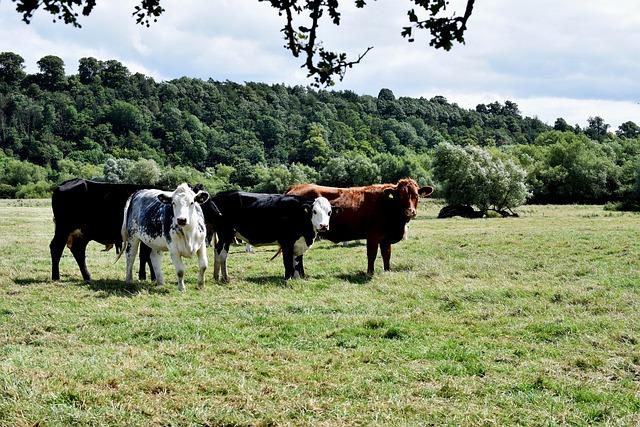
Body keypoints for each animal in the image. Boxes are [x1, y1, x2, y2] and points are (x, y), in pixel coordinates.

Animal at [210, 191, 340, 280]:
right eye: (314, 211)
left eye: (329, 212)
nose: (324, 225)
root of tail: (220, 194)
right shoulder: (287, 242)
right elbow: (288, 262)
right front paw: (288, 278)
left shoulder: (299, 243)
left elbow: (298, 262)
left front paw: (299, 278)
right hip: (225, 233)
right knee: (222, 253)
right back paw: (225, 278)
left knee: (218, 251)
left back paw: (217, 277)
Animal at [286, 179, 432, 276]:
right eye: (400, 195)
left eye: (416, 195)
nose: (410, 211)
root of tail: (296, 186)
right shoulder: (373, 235)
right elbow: (372, 254)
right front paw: (370, 273)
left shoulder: (386, 238)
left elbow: (386, 254)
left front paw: (387, 270)